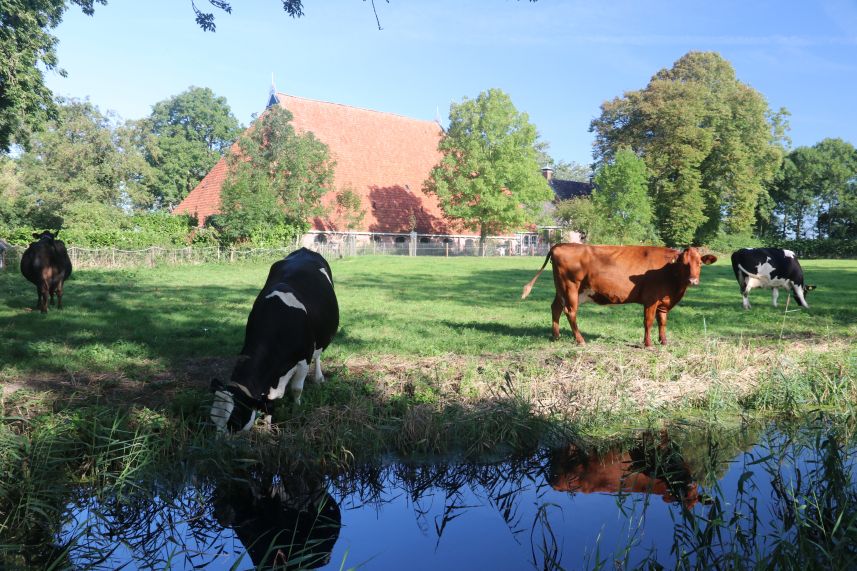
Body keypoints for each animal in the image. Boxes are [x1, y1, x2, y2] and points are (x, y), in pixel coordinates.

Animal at [210, 249, 338, 434]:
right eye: (213, 420)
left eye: (234, 421)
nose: (217, 441)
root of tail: (305, 250)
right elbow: (268, 401)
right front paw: (267, 427)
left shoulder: (303, 360)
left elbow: (297, 389)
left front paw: (297, 409)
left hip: (320, 337)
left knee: (318, 355)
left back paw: (319, 378)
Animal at [520, 244, 716, 346]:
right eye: (684, 263)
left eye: (699, 263)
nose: (693, 280)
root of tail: (560, 245)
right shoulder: (650, 300)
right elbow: (648, 322)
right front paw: (648, 344)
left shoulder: (663, 302)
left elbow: (662, 322)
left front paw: (664, 341)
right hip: (570, 288)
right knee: (570, 312)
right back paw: (580, 340)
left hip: (561, 288)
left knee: (556, 308)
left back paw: (556, 336)